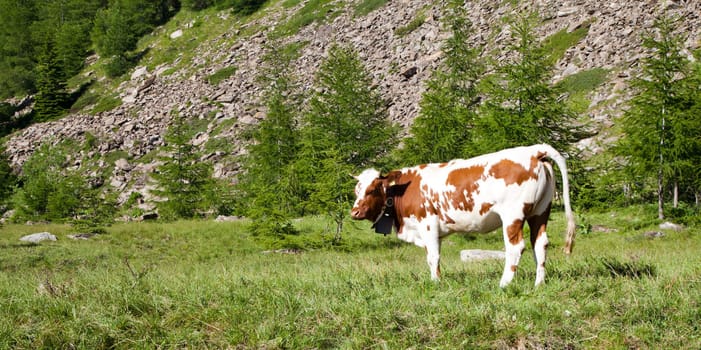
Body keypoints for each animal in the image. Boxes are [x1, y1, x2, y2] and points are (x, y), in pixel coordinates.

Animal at [350, 143, 576, 288]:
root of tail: (533, 150)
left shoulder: (428, 224)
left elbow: (433, 257)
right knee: (540, 244)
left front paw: (436, 283)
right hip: (540, 211)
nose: (354, 212)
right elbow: (433, 256)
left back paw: (504, 284)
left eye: (372, 190)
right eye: (356, 190)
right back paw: (539, 284)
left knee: (515, 247)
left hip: (513, 215)